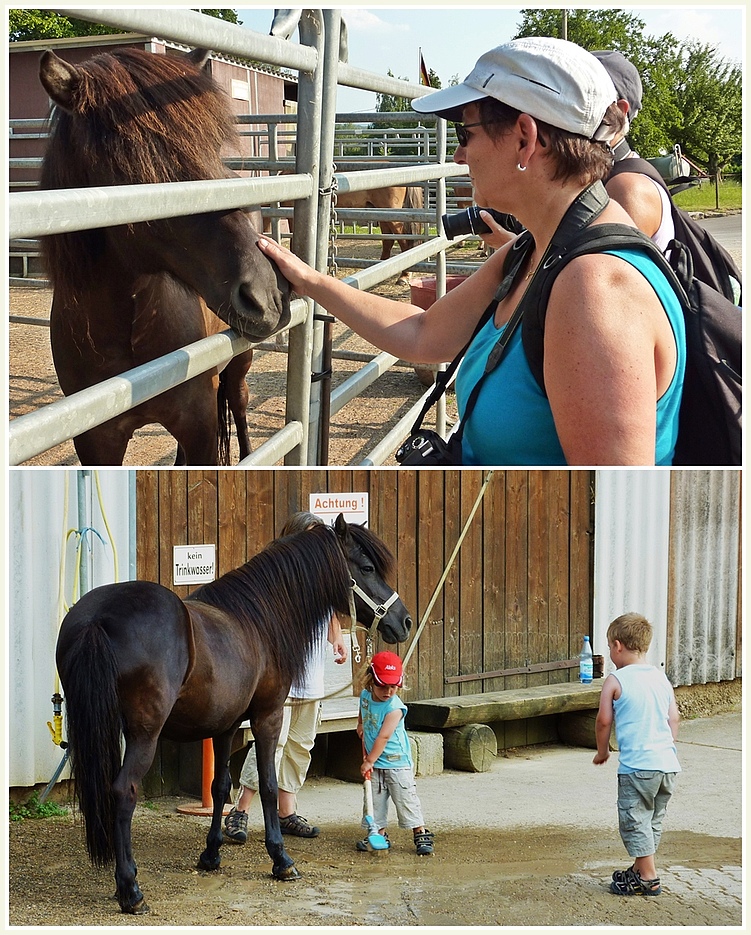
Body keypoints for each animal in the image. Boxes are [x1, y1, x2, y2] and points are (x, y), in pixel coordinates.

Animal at [38, 47, 292, 464]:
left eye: (212, 146)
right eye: (130, 160)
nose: (267, 295)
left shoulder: (200, 427)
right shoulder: (96, 443)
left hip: (240, 363)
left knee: (238, 404)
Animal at [56, 512, 414, 916]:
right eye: (367, 567)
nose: (404, 621)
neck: (258, 619)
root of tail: (98, 618)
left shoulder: (225, 725)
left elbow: (220, 785)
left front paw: (211, 855)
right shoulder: (268, 716)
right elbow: (269, 784)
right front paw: (281, 860)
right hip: (144, 734)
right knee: (123, 791)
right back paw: (130, 889)